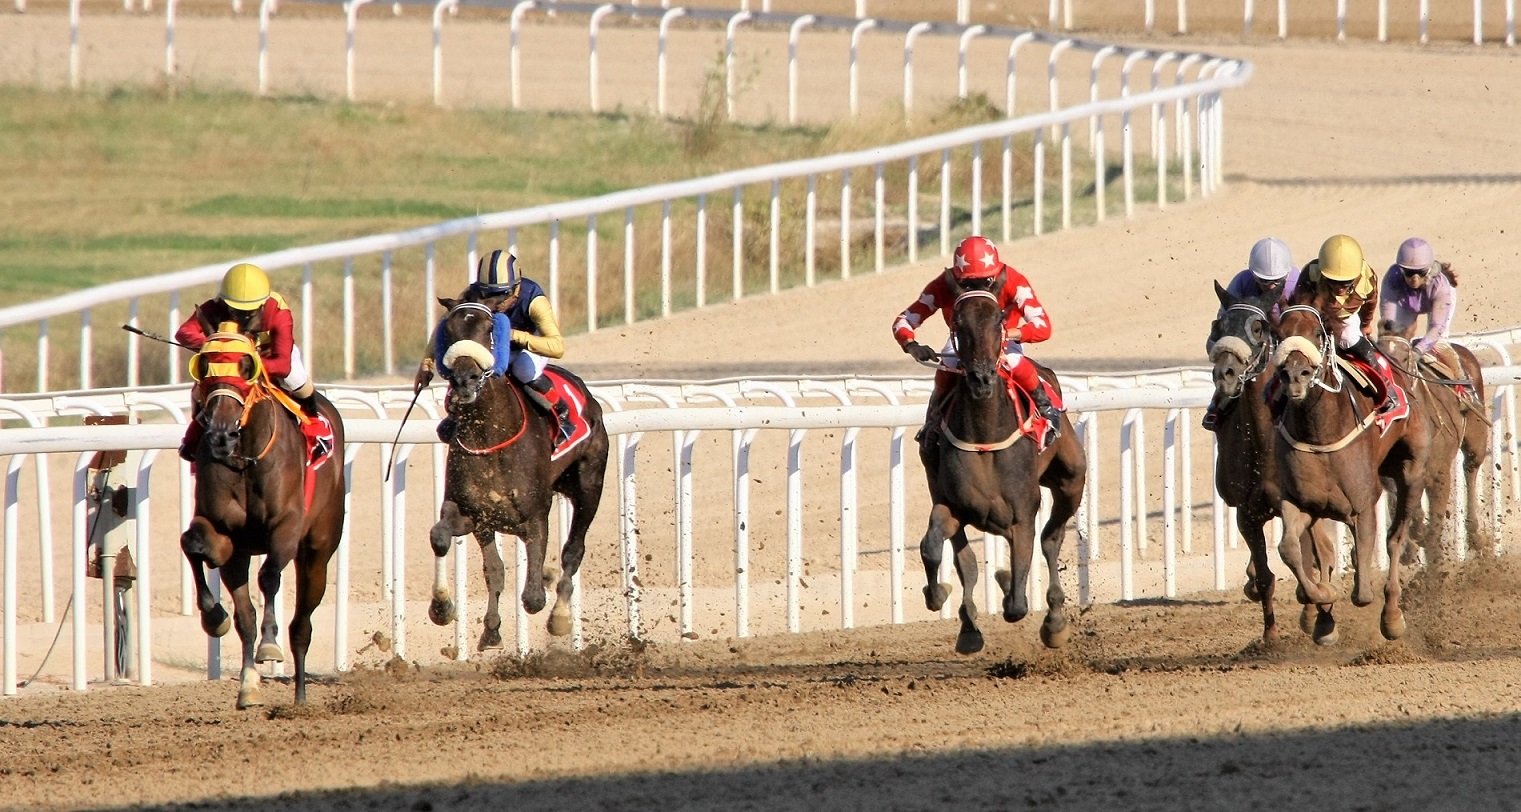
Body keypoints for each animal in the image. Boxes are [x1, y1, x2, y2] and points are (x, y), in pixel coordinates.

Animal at [176, 328, 346, 708]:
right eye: (204, 366)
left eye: (247, 367)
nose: (221, 434)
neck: (246, 459)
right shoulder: (225, 535)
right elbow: (192, 544)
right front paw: (214, 616)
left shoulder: (286, 527)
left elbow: (269, 576)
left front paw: (270, 644)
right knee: (246, 618)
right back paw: (250, 685)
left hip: (318, 551)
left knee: (301, 625)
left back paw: (300, 697)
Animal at [425, 296, 608, 653]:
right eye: (448, 330)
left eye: (489, 330)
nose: (465, 380)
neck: (490, 438)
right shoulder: (475, 514)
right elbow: (455, 547)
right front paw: (447, 609)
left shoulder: (535, 516)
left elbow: (533, 597)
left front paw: (545, 588)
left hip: (590, 486)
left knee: (573, 550)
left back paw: (560, 614)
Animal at [1204, 284, 1338, 641]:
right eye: (1218, 327)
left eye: (1258, 328)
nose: (1226, 374)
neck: (1262, 445)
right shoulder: (1247, 513)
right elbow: (1265, 575)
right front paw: (1270, 636)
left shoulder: (1302, 505)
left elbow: (1314, 557)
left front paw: (1319, 612)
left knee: (1319, 554)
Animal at [1277, 302, 1429, 647]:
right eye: (1278, 332)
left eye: (1317, 332)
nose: (1294, 375)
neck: (1320, 432)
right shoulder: (1302, 503)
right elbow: (1290, 549)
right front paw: (1322, 606)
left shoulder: (1362, 506)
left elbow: (1362, 594)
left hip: (1411, 472)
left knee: (1395, 540)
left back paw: (1392, 617)